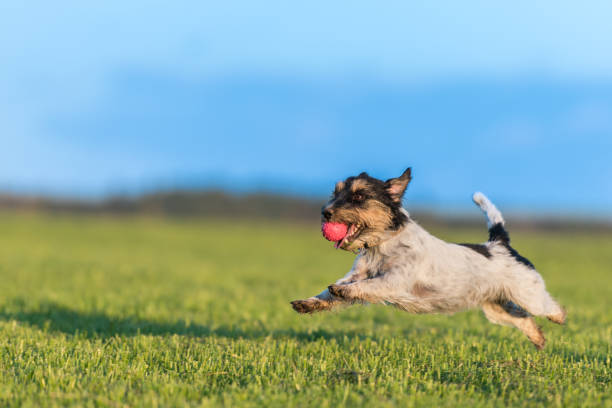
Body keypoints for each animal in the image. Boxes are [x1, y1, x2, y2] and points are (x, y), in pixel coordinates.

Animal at [290, 167, 568, 350]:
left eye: (359, 196)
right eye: (335, 192)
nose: (325, 212)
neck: (384, 243)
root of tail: (500, 243)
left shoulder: (393, 281)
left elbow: (366, 286)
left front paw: (344, 291)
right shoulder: (355, 274)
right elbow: (330, 292)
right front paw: (308, 303)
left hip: (528, 294)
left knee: (548, 306)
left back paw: (560, 317)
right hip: (497, 308)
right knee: (524, 318)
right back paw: (538, 339)